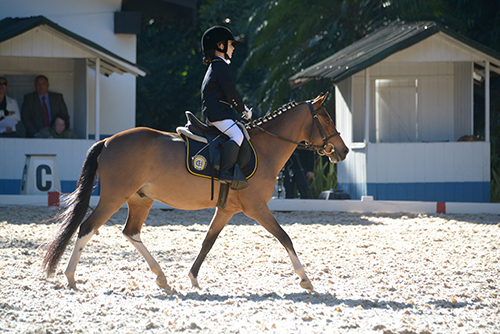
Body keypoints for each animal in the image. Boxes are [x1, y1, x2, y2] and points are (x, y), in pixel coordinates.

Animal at [42, 92, 348, 290]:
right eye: (327, 119)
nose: (343, 151)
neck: (265, 148)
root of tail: (106, 141)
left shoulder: (227, 209)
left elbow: (207, 242)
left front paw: (192, 277)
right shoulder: (257, 208)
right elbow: (285, 237)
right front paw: (305, 279)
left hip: (140, 199)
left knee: (130, 232)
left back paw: (162, 278)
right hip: (114, 197)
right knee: (87, 228)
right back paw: (70, 276)